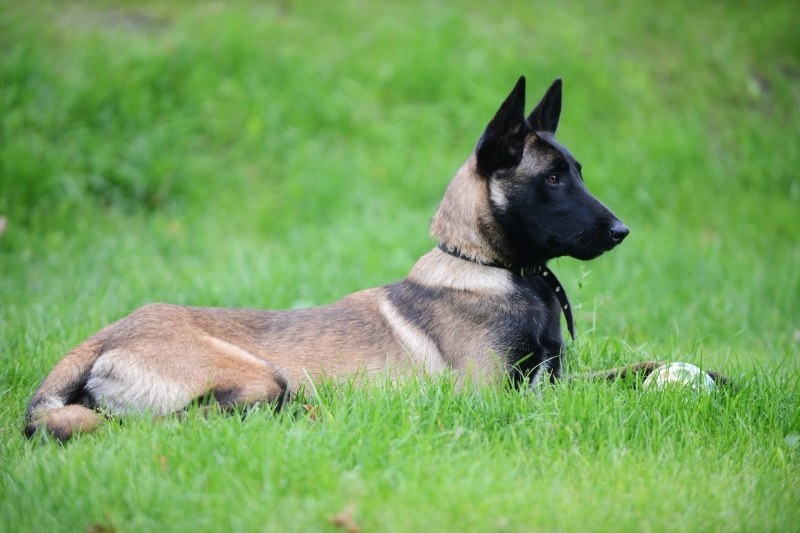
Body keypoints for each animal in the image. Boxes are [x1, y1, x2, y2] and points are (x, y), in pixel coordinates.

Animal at [25, 76, 636, 440]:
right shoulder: (491, 395)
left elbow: (627, 373)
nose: (622, 230)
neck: (487, 269)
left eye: (578, 172)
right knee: (173, 425)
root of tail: (110, 332)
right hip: (259, 379)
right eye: (552, 179)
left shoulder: (553, 378)